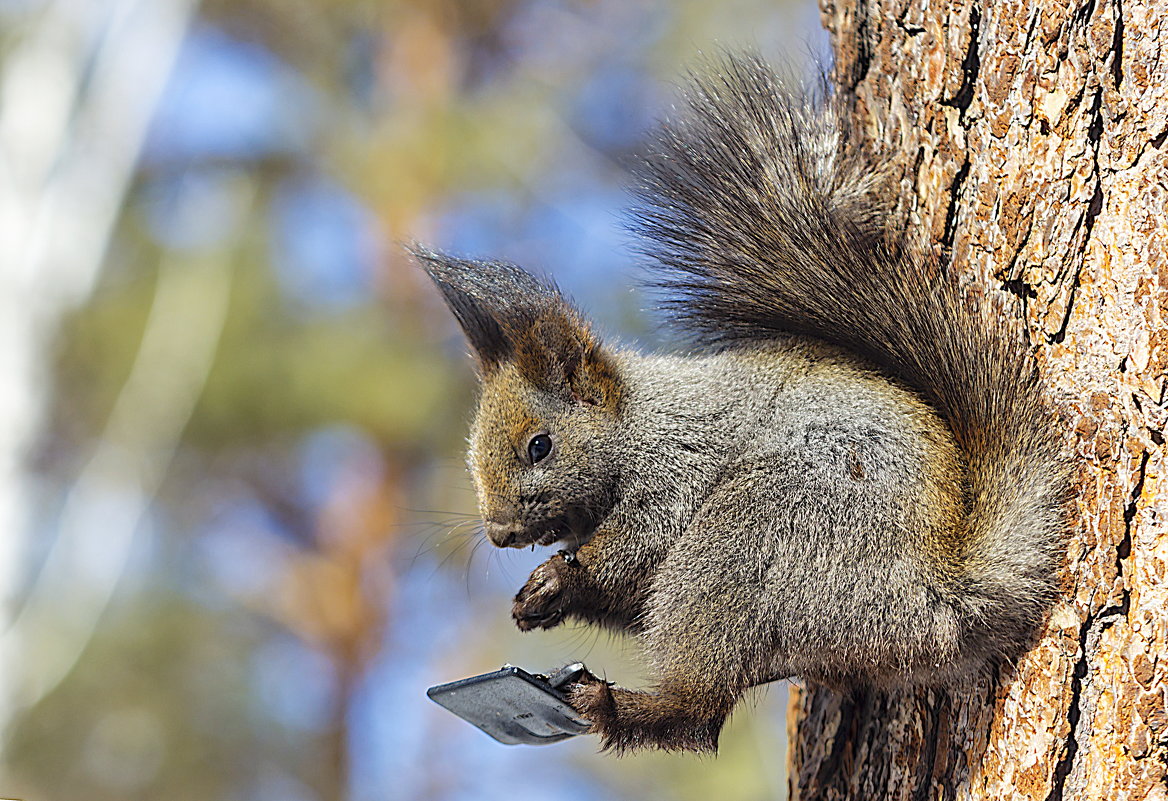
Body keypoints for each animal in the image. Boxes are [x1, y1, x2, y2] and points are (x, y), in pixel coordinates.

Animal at [411, 58, 1069, 761]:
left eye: (541, 445)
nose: (501, 534)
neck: (638, 423)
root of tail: (936, 601)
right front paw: (536, 599)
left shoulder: (678, 471)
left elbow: (638, 549)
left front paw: (559, 580)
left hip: (748, 540)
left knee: (701, 712)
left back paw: (610, 704)